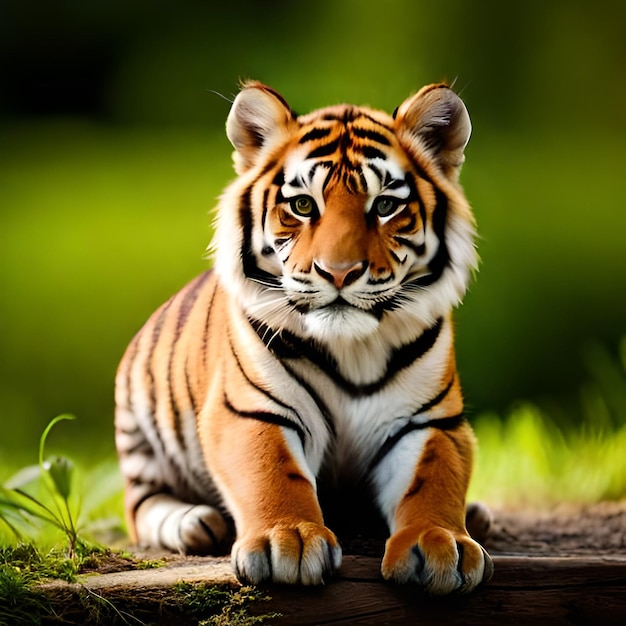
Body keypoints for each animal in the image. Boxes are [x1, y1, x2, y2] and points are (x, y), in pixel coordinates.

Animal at [113, 80, 492, 592]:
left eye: (385, 206)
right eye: (303, 205)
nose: (339, 272)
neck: (353, 350)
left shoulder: (430, 420)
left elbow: (433, 477)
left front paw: (441, 542)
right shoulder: (251, 408)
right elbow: (273, 469)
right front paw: (286, 540)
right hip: (140, 439)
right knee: (142, 506)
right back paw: (194, 523)